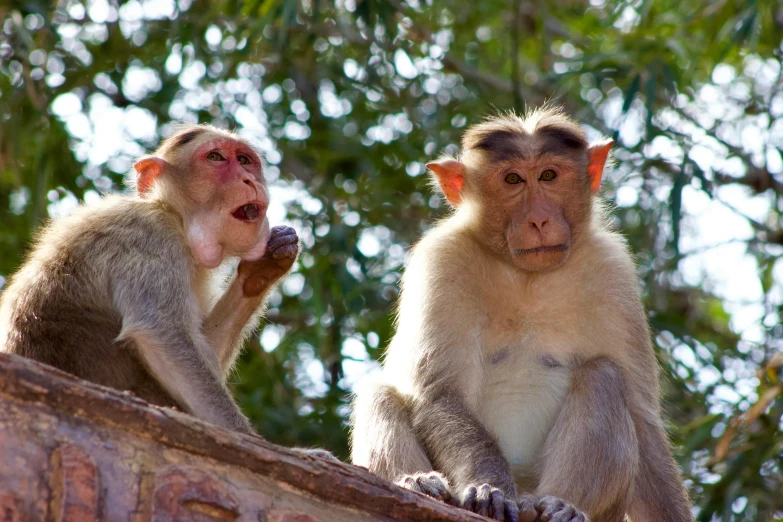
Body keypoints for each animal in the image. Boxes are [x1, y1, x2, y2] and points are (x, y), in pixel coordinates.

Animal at [0, 124, 298, 432]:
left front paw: (262, 269)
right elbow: (163, 335)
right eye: (215, 157)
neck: (177, 218)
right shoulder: (149, 237)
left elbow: (205, 348)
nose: (248, 179)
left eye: (244, 160)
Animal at [352, 106, 696, 520]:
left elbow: (644, 420)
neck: (527, 275)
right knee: (380, 390)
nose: (539, 221)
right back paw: (421, 484)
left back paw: (559, 505)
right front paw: (490, 489)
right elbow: (440, 392)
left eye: (548, 175)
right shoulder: (443, 260)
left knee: (604, 376)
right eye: (513, 179)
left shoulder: (613, 272)